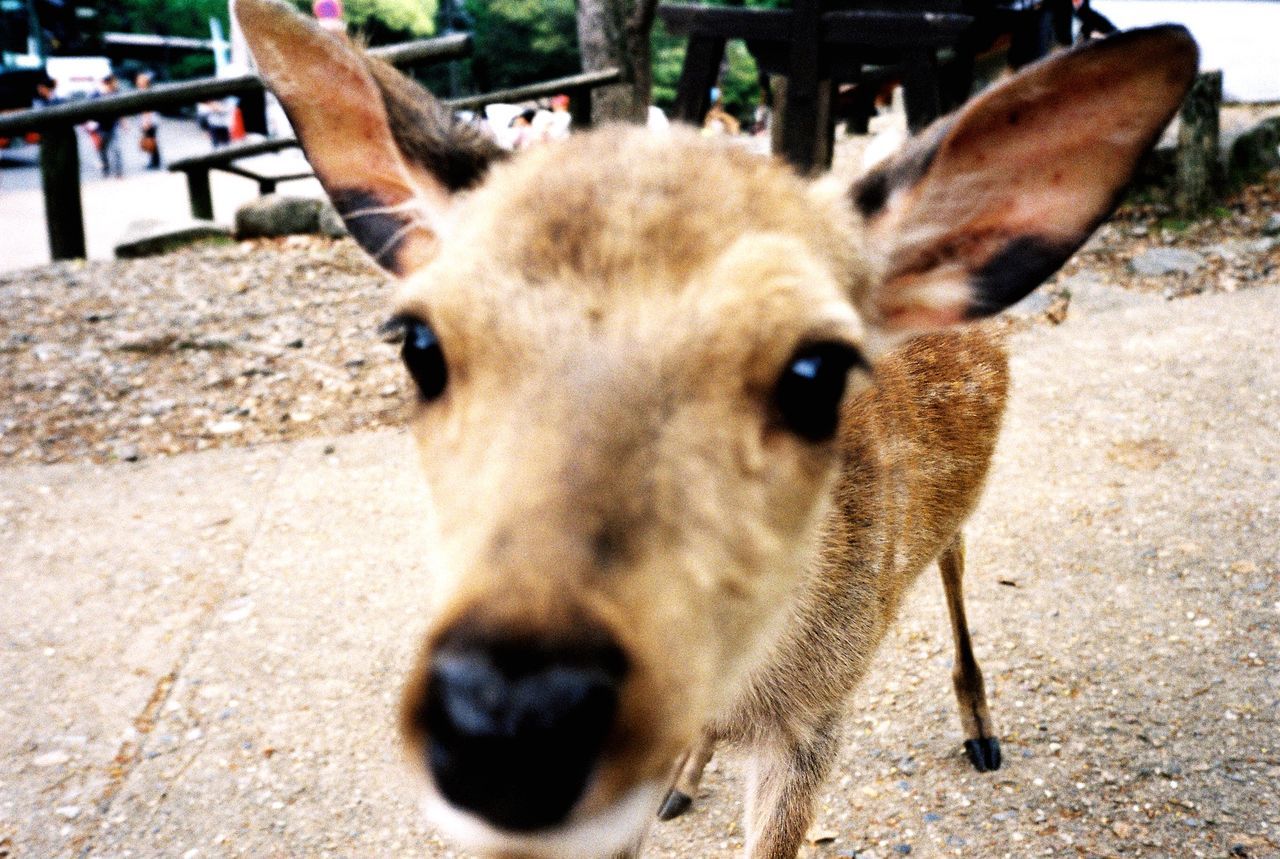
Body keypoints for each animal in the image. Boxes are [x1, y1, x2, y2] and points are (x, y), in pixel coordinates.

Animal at [227, 3, 1187, 855]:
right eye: (419, 344)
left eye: (815, 370)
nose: (510, 723)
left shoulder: (818, 716)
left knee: (953, 560)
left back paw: (980, 727)